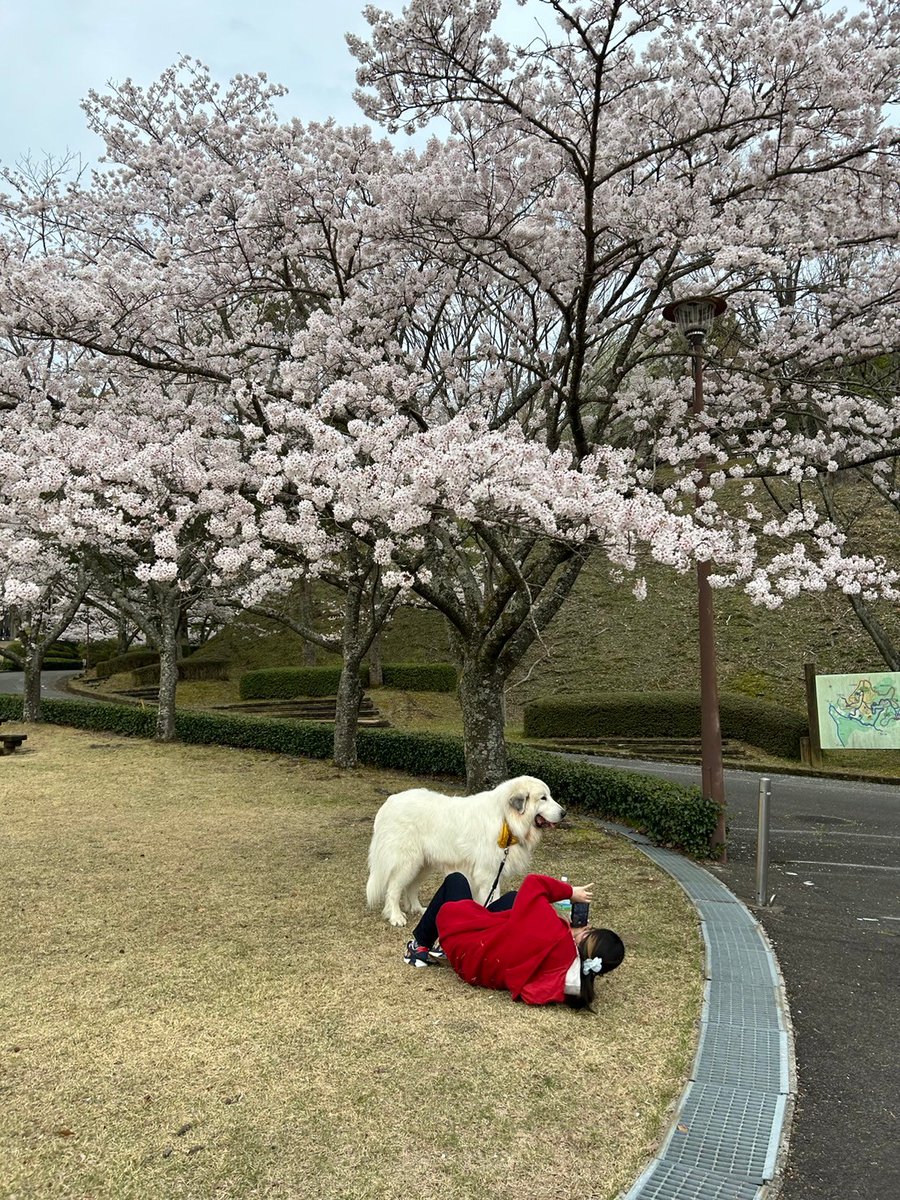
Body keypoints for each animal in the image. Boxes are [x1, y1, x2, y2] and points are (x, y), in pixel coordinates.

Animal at [364, 777, 564, 926]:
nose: (564, 813)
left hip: (422, 864)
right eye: (543, 798)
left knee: (411, 887)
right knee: (393, 889)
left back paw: (417, 908)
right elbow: (492, 899)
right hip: (407, 862)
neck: (506, 818)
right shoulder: (488, 874)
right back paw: (396, 916)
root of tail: (390, 802)